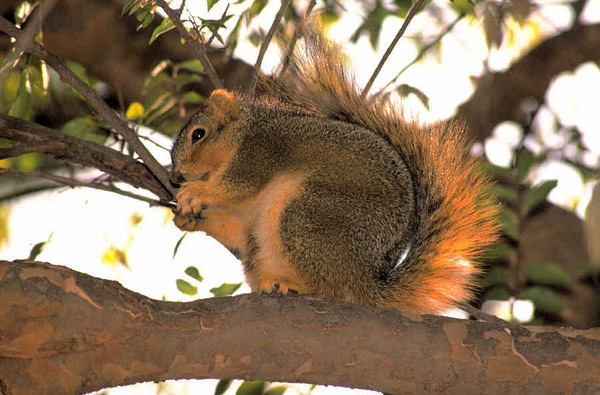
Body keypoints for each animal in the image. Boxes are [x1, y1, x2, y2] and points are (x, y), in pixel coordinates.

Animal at [170, 32, 496, 314]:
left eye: (198, 134)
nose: (174, 178)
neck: (246, 130)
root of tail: (366, 282)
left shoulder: (262, 151)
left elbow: (236, 185)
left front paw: (195, 192)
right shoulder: (245, 216)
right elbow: (233, 228)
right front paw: (189, 218)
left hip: (307, 217)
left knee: (333, 289)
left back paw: (293, 286)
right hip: (263, 243)